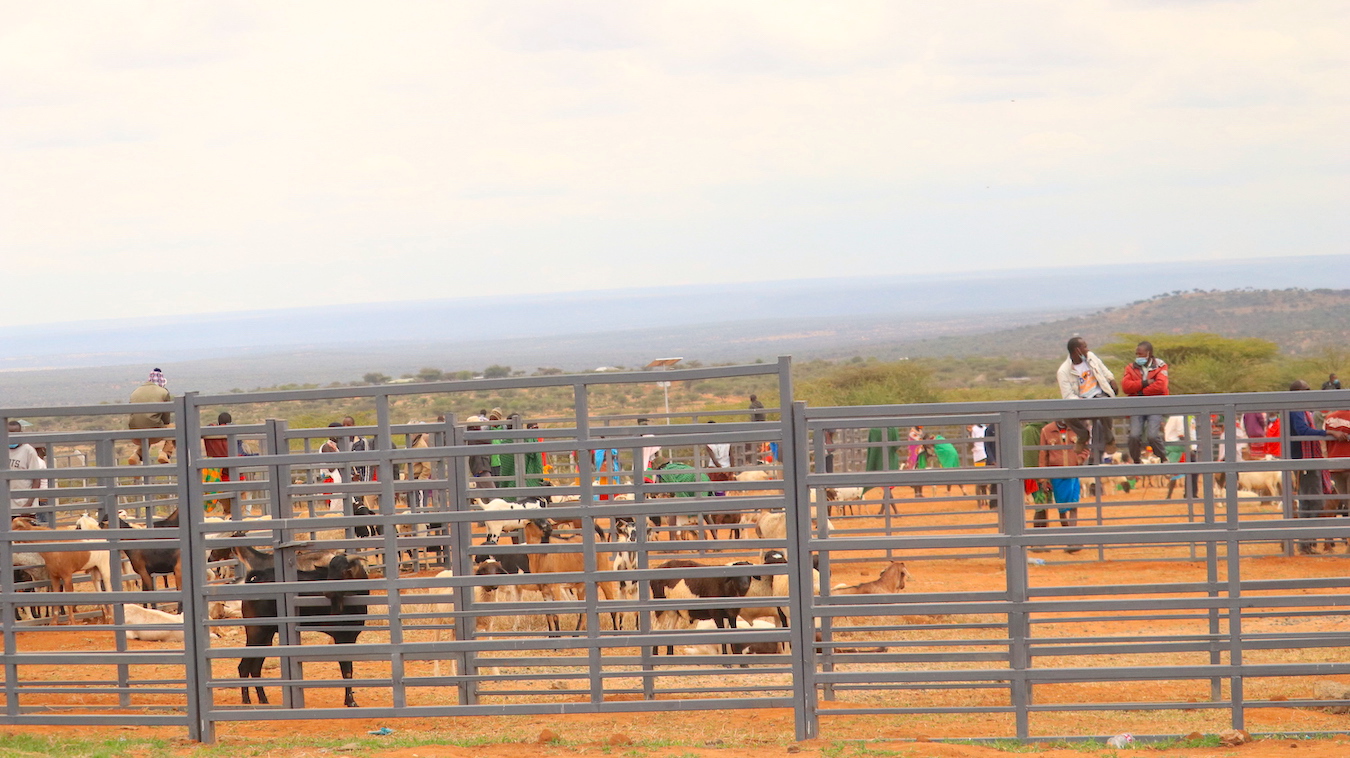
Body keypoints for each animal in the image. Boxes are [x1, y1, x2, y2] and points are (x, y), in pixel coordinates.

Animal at [234, 553, 367, 708]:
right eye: (330, 570)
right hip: (256, 632)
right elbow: (347, 670)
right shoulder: (342, 637)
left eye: (344, 570)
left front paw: (348, 700)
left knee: (255, 668)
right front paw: (351, 701)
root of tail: (257, 580)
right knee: (243, 667)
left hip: (266, 636)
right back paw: (246, 701)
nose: (327, 592)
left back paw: (263, 700)